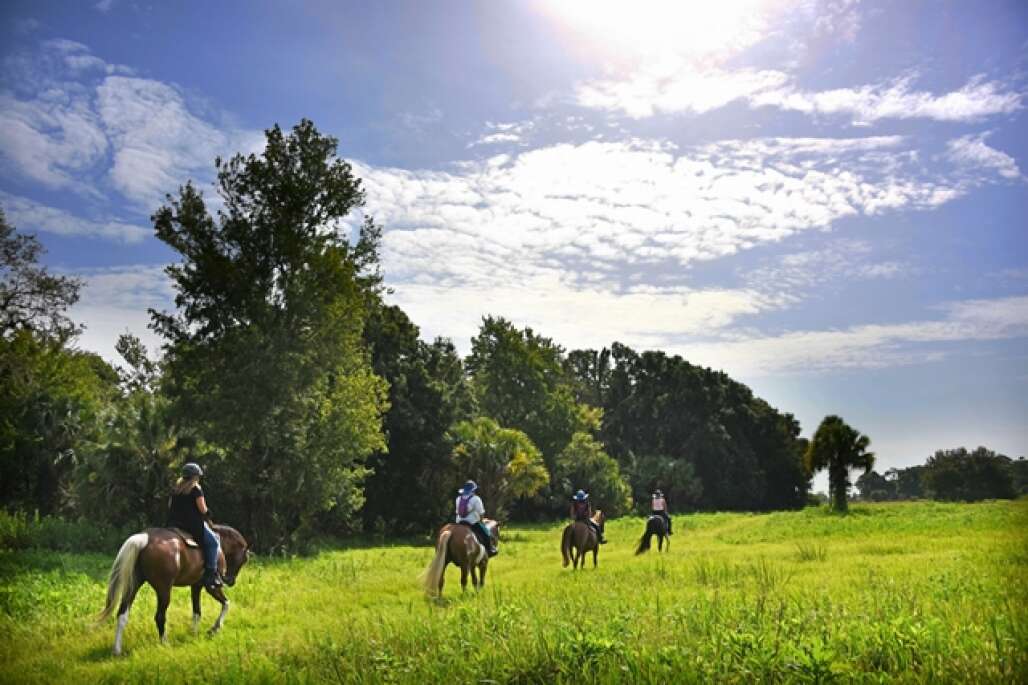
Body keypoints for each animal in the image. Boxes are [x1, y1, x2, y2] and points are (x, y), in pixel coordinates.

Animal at [98, 524, 250, 654]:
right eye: (244, 559)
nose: (230, 581)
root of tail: (145, 538)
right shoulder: (211, 587)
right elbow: (226, 603)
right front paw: (215, 628)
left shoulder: (196, 586)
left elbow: (197, 612)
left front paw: (194, 634)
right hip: (164, 591)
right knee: (159, 616)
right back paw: (164, 643)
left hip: (133, 586)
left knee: (122, 614)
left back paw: (117, 650)